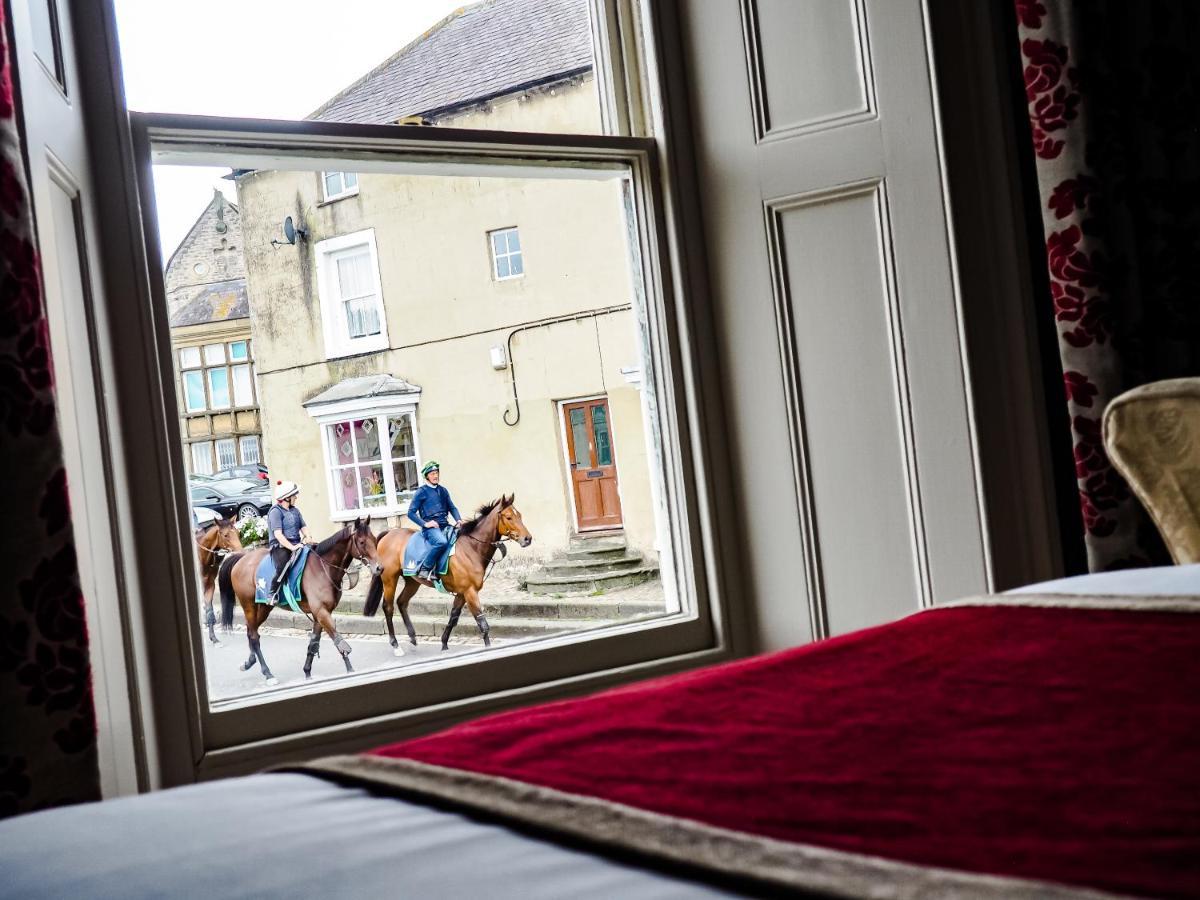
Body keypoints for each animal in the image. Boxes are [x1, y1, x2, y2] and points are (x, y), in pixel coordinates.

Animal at [195, 520, 242, 648]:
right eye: (226, 535)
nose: (241, 550)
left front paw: (214, 638)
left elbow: (210, 611)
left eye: (237, 532)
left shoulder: (209, 584)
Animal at [218, 518, 381, 686]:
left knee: (252, 631)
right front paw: (350, 670)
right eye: (361, 542)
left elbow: (314, 644)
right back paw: (268, 674)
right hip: (249, 605)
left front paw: (307, 672)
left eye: (374, 539)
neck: (323, 568)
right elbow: (339, 641)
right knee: (254, 637)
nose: (379, 568)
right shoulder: (322, 613)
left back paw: (249, 662)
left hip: (263, 608)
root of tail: (242, 559)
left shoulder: (319, 615)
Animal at [360, 494, 530, 657]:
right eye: (509, 517)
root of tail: (390, 533)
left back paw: (413, 638)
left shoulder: (462, 593)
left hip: (413, 581)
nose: (528, 539)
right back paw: (396, 645)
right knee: (388, 607)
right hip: (389, 579)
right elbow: (482, 624)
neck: (471, 548)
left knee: (402, 602)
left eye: (520, 515)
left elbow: (453, 617)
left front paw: (444, 644)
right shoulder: (470, 592)